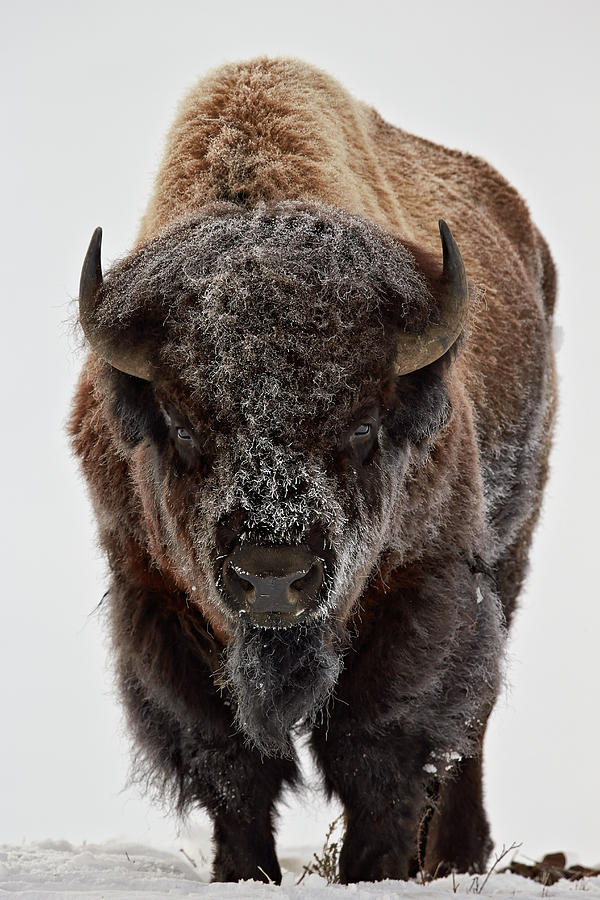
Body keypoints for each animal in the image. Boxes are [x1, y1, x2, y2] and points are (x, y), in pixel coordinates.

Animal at [70, 58, 556, 884]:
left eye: (362, 427)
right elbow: (228, 758)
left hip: (509, 552)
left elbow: (382, 743)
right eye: (181, 428)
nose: (273, 576)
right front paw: (243, 872)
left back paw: (456, 855)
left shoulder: (424, 582)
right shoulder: (155, 593)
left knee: (471, 727)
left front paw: (374, 869)